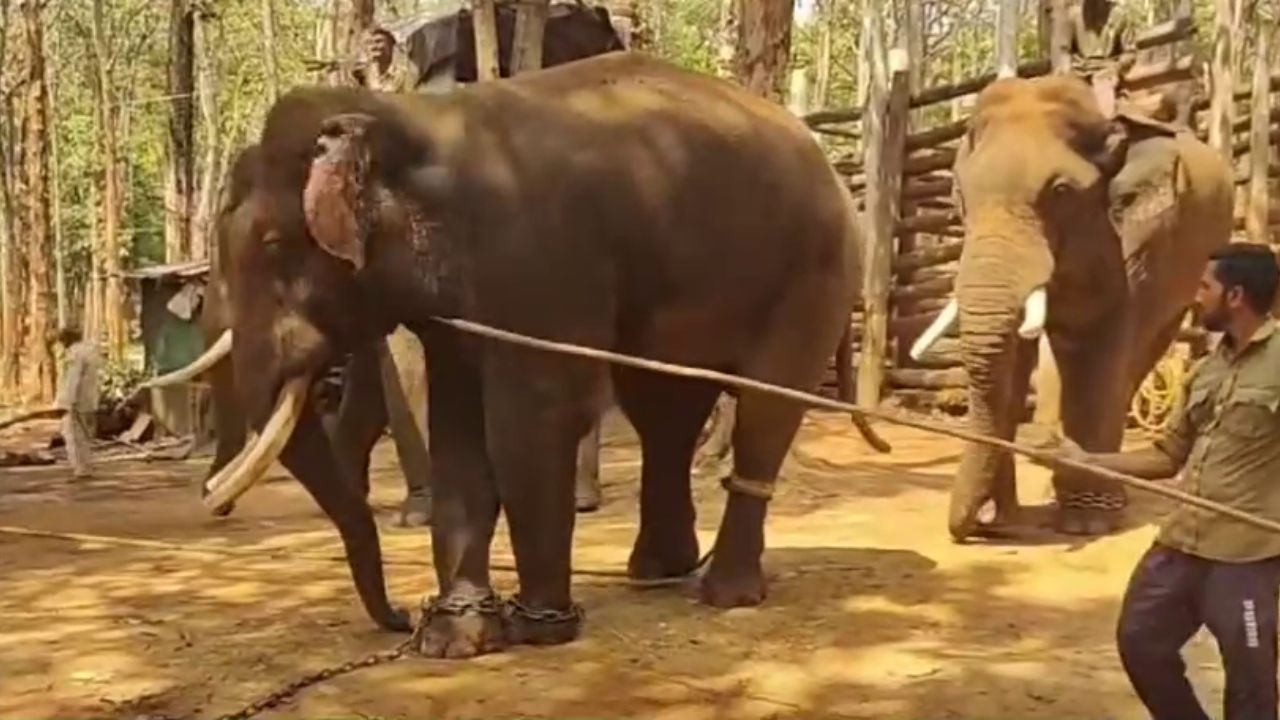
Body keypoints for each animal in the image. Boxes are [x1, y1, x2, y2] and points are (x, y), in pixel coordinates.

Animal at [201, 51, 889, 656]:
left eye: (271, 244)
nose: (398, 617)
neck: (413, 117)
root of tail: (832, 165)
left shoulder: (542, 264)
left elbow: (531, 421)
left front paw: (538, 630)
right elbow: (459, 433)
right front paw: (454, 639)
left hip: (814, 271)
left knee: (764, 410)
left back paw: (725, 594)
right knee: (664, 413)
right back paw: (658, 572)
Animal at [909, 75, 1233, 541]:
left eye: (1060, 192)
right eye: (961, 195)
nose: (971, 531)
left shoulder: (1136, 238)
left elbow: (1102, 349)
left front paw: (1085, 523)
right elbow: (1017, 359)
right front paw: (998, 519)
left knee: (1134, 359)